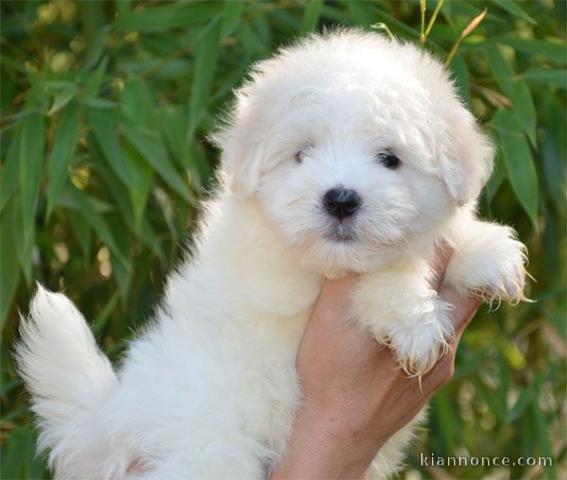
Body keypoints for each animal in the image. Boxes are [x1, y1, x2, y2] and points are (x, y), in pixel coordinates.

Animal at [16, 31, 528, 480]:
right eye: (302, 154)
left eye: (390, 158)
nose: (341, 198)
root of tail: (110, 422)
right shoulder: (286, 283)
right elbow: (378, 273)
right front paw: (413, 316)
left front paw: (487, 252)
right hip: (210, 447)